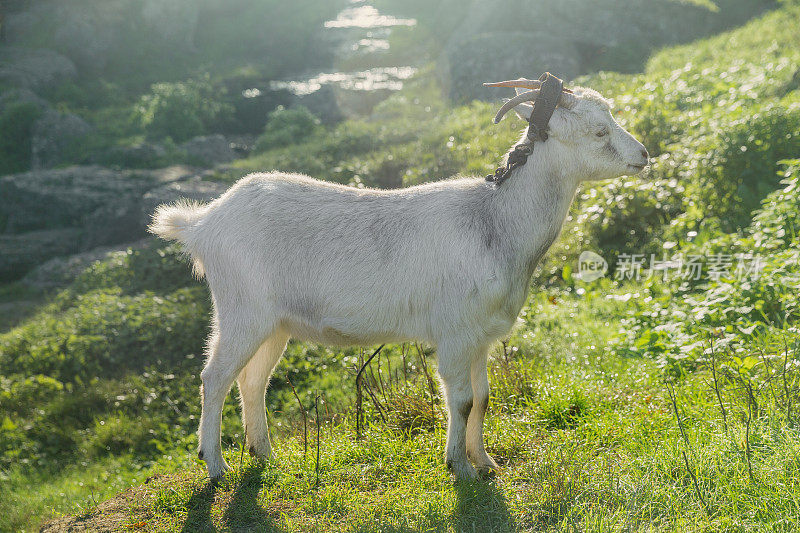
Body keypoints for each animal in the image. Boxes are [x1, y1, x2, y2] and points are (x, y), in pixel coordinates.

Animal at [148, 81, 648, 480]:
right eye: (598, 131)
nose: (643, 155)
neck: (495, 222)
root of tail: (203, 223)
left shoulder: (481, 337)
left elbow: (485, 397)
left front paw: (486, 462)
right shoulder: (454, 333)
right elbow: (462, 401)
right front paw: (460, 467)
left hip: (275, 325)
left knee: (252, 381)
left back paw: (264, 454)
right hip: (242, 312)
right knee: (215, 377)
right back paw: (215, 465)